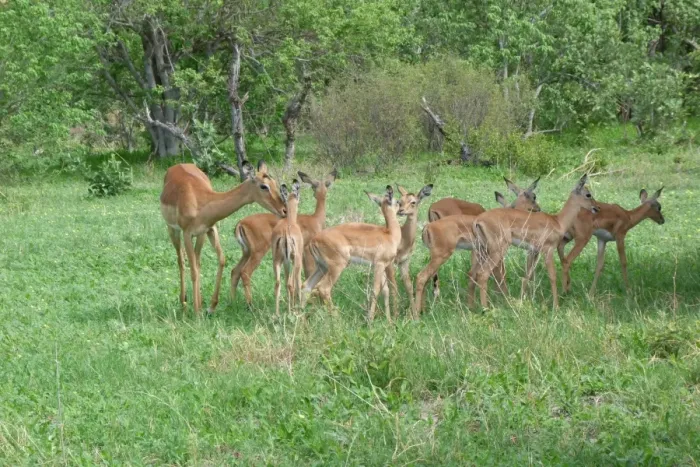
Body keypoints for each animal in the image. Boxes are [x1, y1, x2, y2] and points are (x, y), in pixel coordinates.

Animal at [160, 161, 286, 315]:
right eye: (264, 186)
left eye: (274, 183)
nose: (284, 210)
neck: (200, 202)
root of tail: (177, 165)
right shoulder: (187, 234)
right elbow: (193, 271)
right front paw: (196, 312)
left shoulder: (209, 230)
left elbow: (221, 260)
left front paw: (211, 306)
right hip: (173, 231)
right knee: (181, 261)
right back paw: (184, 302)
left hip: (200, 237)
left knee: (197, 261)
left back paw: (198, 302)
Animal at [230, 169, 337, 305]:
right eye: (314, 186)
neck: (316, 219)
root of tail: (241, 223)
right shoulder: (307, 250)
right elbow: (308, 272)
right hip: (258, 252)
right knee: (245, 272)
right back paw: (250, 304)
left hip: (247, 252)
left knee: (235, 271)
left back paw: (232, 302)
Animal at [302, 186, 401, 322]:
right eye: (397, 202)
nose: (402, 209)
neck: (390, 235)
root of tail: (314, 240)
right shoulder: (380, 264)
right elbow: (375, 290)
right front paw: (370, 320)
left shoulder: (381, 266)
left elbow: (385, 290)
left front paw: (389, 321)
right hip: (337, 266)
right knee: (323, 288)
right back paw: (338, 319)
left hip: (321, 266)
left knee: (306, 286)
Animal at [468, 174, 599, 310]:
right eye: (588, 194)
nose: (597, 208)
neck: (558, 221)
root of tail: (478, 220)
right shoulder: (548, 250)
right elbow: (552, 276)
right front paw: (556, 306)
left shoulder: (534, 252)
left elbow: (528, 276)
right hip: (497, 250)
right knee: (483, 274)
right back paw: (485, 308)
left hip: (482, 250)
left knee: (473, 273)